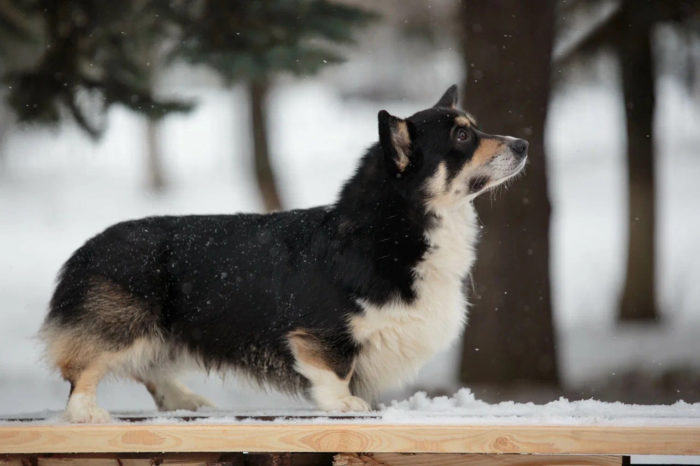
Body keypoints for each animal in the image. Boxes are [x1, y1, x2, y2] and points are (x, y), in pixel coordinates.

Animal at [41, 84, 528, 422]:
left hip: (164, 332)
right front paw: (346, 404)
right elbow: (334, 372)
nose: (524, 145)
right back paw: (86, 411)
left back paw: (186, 400)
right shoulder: (322, 334)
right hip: (123, 324)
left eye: (473, 127)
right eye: (462, 136)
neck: (395, 226)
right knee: (82, 368)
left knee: (150, 369)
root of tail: (84, 249)